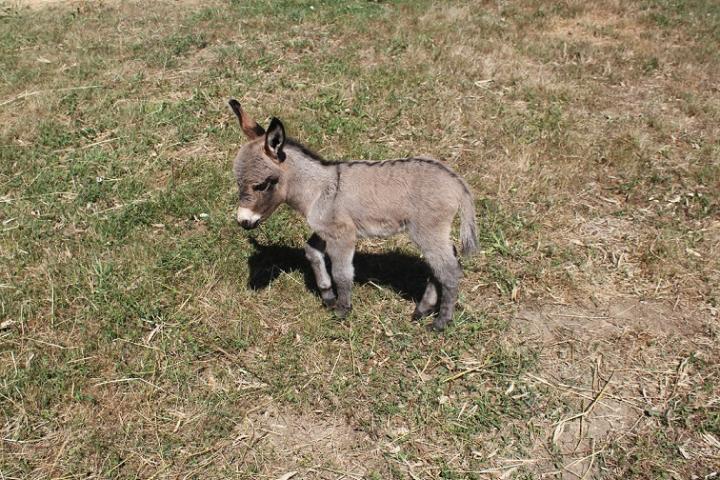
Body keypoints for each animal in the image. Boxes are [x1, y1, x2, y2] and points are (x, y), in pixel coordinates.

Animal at [231, 98, 478, 330]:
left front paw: (342, 309)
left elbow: (342, 272)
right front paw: (328, 295)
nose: (243, 221)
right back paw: (423, 309)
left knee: (450, 270)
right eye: (238, 182)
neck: (319, 189)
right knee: (443, 261)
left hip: (426, 230)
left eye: (263, 184)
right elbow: (311, 251)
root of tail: (457, 182)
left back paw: (441, 322)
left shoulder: (342, 235)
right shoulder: (325, 229)